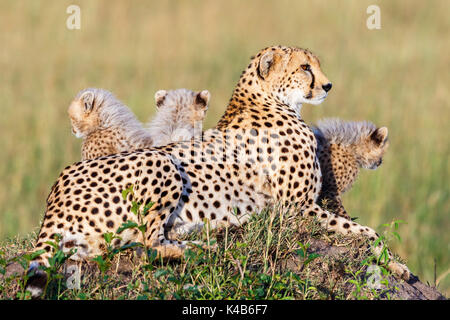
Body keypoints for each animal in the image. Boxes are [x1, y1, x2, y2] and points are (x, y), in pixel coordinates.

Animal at [27, 46, 408, 298]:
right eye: (305, 67)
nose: (328, 86)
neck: (268, 100)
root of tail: (56, 192)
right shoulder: (296, 207)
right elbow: (367, 232)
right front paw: (396, 265)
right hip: (163, 163)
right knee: (147, 244)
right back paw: (200, 248)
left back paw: (209, 234)